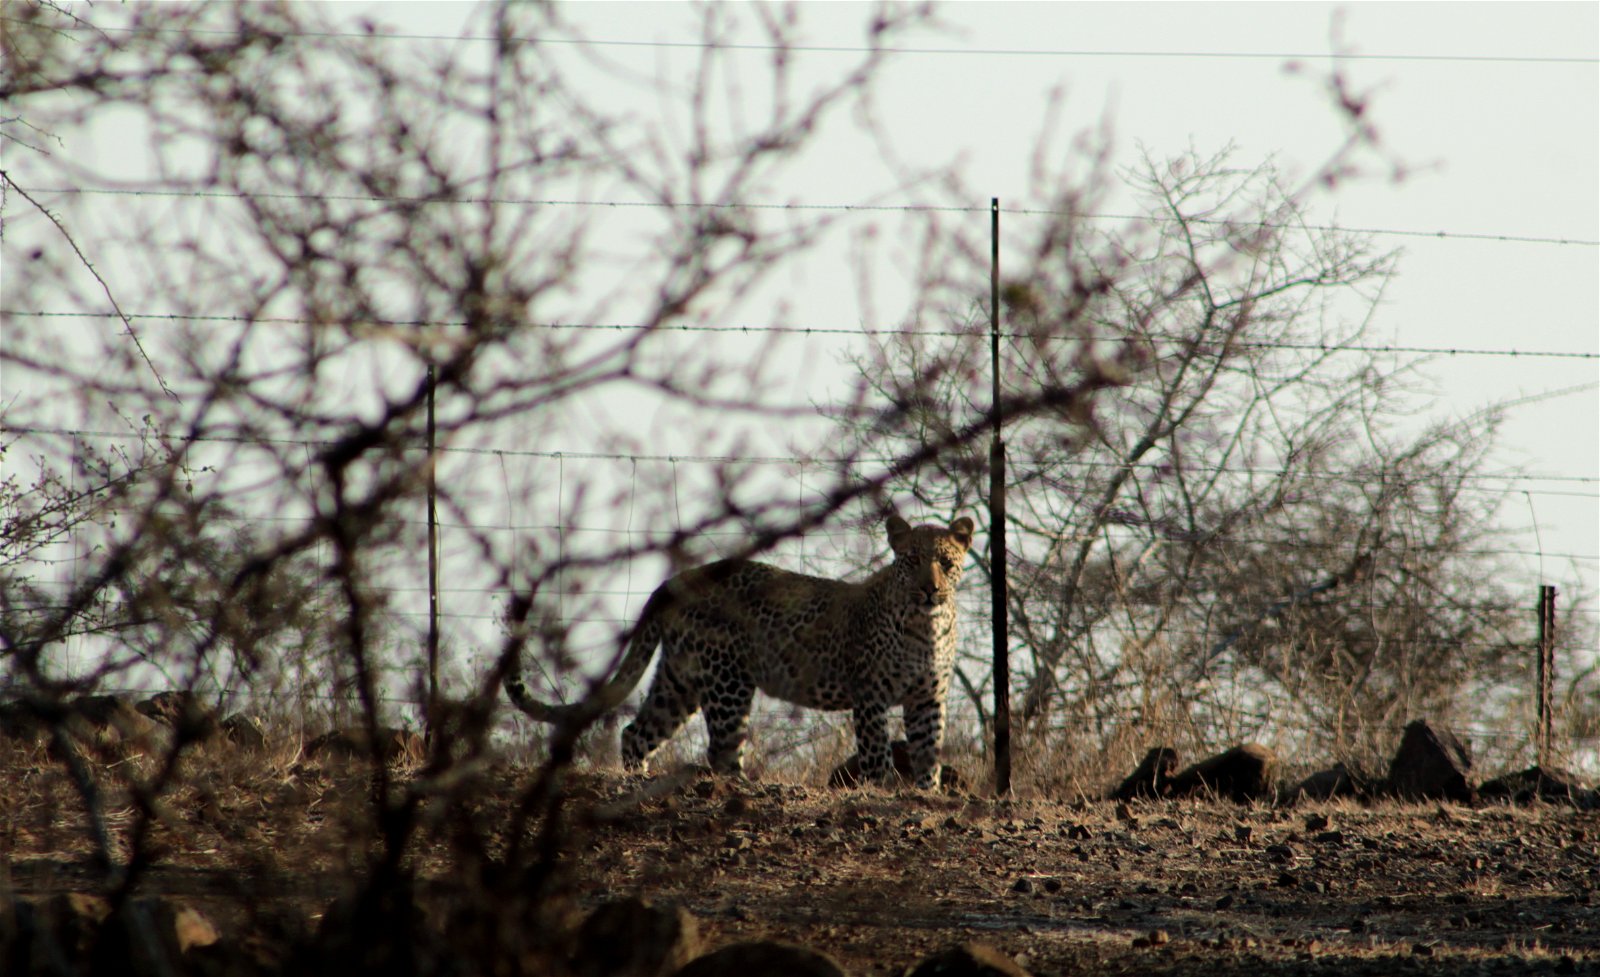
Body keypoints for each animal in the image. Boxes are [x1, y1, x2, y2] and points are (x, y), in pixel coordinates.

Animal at [504, 514, 975, 788]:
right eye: (911, 561)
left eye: (945, 562)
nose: (930, 588)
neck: (927, 626)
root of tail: (677, 579)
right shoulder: (871, 695)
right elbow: (877, 752)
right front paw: (880, 792)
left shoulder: (928, 698)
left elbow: (928, 752)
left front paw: (925, 795)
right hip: (726, 681)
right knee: (722, 752)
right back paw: (744, 789)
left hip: (680, 679)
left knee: (637, 732)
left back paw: (639, 780)